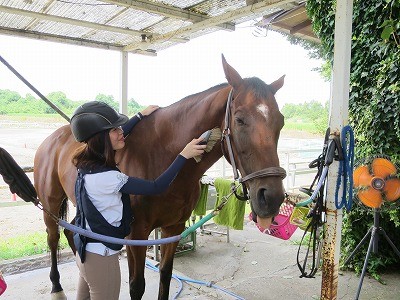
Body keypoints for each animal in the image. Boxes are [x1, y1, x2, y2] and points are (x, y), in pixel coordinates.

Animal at [32, 55, 286, 298]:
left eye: (281, 121)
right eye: (240, 120)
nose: (271, 198)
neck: (159, 152)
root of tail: (52, 139)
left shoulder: (173, 229)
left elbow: (165, 274)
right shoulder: (136, 234)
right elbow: (137, 285)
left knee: (72, 231)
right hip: (50, 205)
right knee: (53, 237)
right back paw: (56, 286)